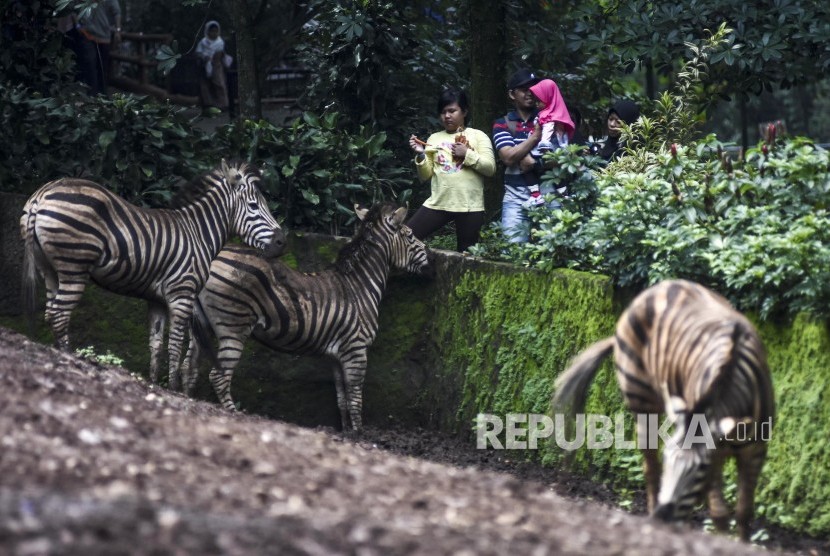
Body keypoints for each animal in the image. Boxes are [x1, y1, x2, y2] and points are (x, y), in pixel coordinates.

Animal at [18, 159, 286, 388]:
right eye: (254, 206)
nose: (282, 242)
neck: (199, 232)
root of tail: (42, 194)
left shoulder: (156, 300)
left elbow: (155, 344)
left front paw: (154, 383)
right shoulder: (182, 294)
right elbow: (175, 345)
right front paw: (175, 390)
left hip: (50, 269)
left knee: (51, 312)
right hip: (74, 266)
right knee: (60, 314)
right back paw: (69, 359)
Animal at [184, 202, 432, 432]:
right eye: (410, 235)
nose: (431, 259)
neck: (359, 285)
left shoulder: (336, 354)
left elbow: (342, 397)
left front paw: (346, 431)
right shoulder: (356, 349)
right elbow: (355, 399)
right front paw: (359, 433)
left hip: (201, 326)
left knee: (190, 367)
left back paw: (186, 401)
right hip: (233, 326)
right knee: (219, 377)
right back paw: (233, 414)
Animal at [556, 280, 776, 540]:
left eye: (701, 468)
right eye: (668, 459)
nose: (660, 519)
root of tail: (663, 284)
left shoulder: (754, 451)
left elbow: (743, 513)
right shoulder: (716, 451)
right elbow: (719, 513)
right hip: (640, 400)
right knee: (650, 465)